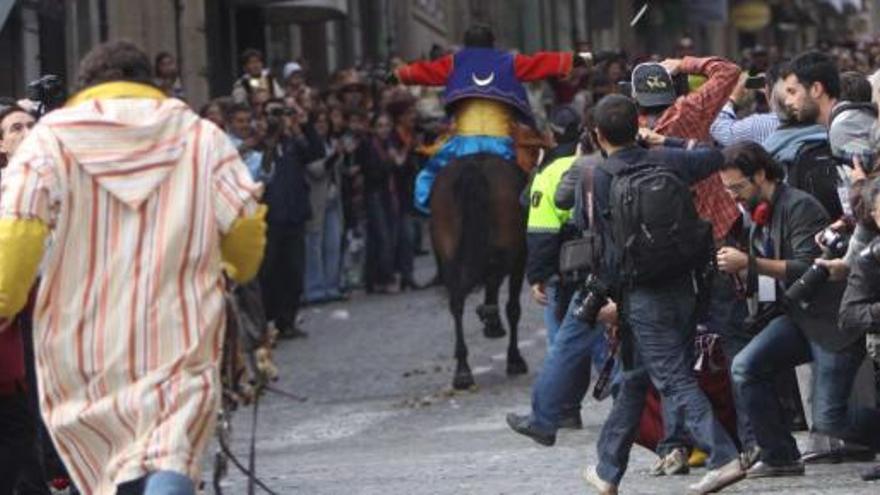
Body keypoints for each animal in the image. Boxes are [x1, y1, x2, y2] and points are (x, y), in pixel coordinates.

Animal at [426, 151, 528, 392]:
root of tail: (473, 166)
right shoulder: (521, 258)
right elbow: (513, 308)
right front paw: (514, 358)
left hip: (448, 251)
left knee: (457, 302)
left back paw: (463, 370)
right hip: (511, 246)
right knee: (495, 276)